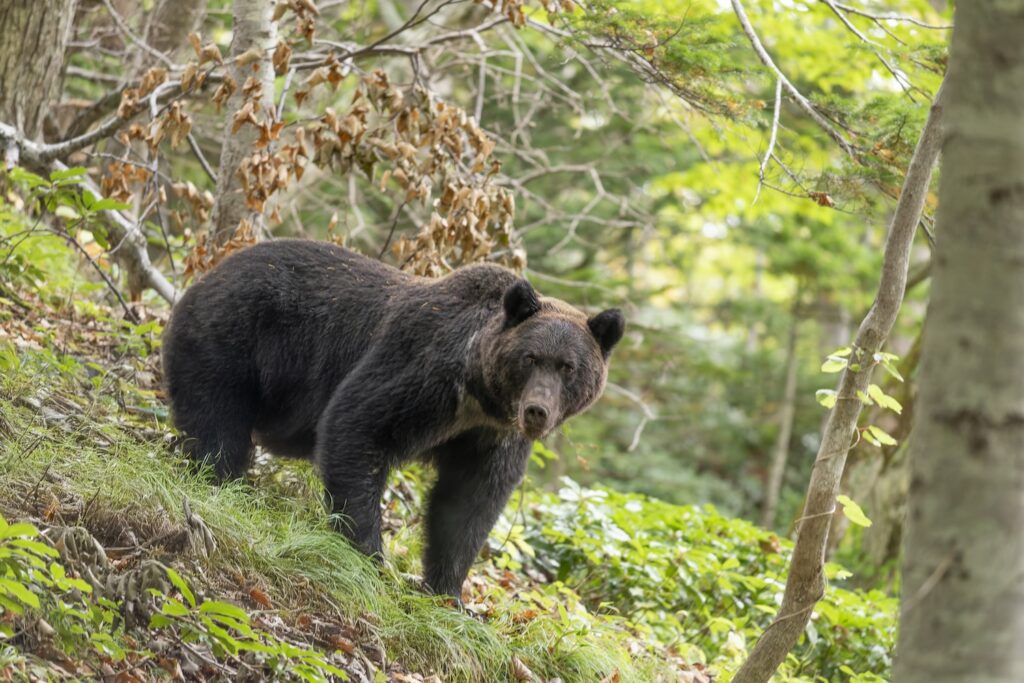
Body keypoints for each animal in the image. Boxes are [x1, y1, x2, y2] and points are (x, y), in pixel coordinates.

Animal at [161, 239, 624, 598]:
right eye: (531, 358)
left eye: (568, 367)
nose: (536, 411)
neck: (478, 394)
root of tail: (207, 274)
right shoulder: (424, 374)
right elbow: (357, 427)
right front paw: (369, 555)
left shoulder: (489, 436)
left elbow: (469, 503)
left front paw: (447, 592)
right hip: (233, 340)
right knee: (218, 422)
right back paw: (221, 480)